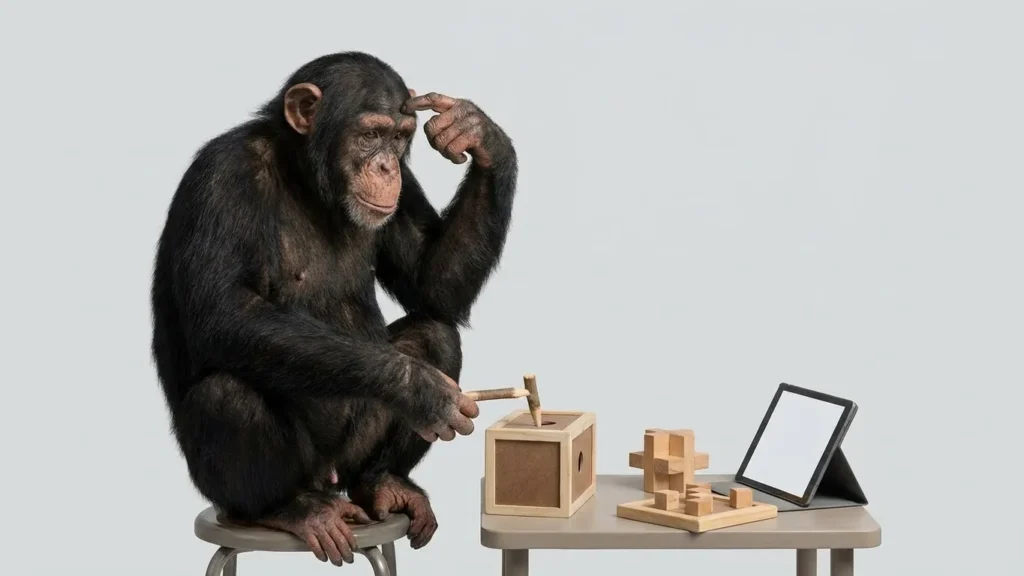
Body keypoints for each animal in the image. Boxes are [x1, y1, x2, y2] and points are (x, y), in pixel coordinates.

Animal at [150, 51, 517, 566]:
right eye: (369, 135)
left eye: (399, 138)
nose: (385, 167)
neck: (305, 179)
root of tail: (331, 482)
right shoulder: (221, 177)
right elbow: (226, 312)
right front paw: (420, 390)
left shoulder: (406, 190)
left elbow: (433, 287)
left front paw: (474, 130)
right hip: (245, 487)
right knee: (225, 394)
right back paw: (291, 509)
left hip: (352, 459)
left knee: (435, 334)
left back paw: (384, 483)